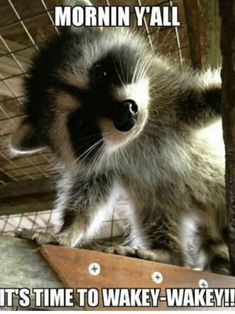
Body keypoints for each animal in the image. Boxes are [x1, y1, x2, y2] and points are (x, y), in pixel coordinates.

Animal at [10, 4, 229, 274]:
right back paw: (166, 253)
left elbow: (198, 101)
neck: (138, 135)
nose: (127, 115)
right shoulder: (102, 160)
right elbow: (90, 191)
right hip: (161, 202)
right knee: (154, 216)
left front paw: (217, 94)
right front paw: (69, 228)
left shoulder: (168, 92)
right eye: (81, 122)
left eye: (101, 73)